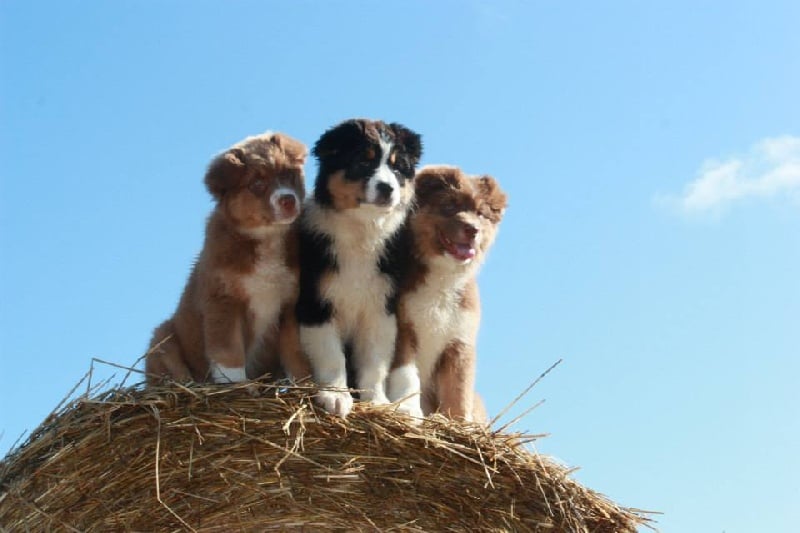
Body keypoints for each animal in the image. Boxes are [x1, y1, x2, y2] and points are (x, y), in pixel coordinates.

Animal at [144, 131, 310, 384]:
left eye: (289, 175)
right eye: (257, 184)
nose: (288, 200)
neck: (267, 237)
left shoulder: (290, 304)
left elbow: (295, 352)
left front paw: (312, 386)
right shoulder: (222, 302)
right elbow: (228, 354)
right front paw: (236, 385)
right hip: (163, 340)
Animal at [296, 118, 424, 418]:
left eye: (397, 168)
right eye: (362, 162)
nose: (387, 188)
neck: (361, 231)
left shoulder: (381, 309)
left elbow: (374, 361)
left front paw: (376, 401)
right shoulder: (315, 303)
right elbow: (332, 356)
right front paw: (336, 396)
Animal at [388, 164, 506, 422]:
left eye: (480, 214)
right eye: (450, 206)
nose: (472, 230)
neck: (443, 277)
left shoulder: (459, 341)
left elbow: (458, 389)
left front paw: (460, 423)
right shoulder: (402, 327)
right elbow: (406, 373)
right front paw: (408, 410)